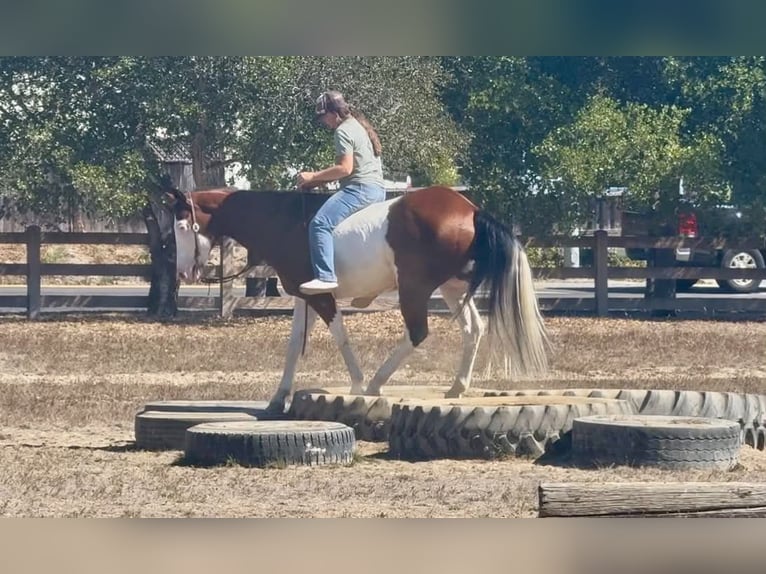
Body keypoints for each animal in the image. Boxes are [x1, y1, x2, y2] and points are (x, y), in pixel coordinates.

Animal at [164, 184, 549, 413]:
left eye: (182, 226)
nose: (182, 273)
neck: (283, 220)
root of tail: (469, 209)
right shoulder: (302, 297)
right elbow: (294, 346)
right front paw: (279, 397)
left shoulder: (322, 298)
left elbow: (341, 337)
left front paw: (358, 384)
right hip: (453, 288)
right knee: (473, 329)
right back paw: (456, 387)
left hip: (415, 289)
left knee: (418, 333)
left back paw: (377, 383)